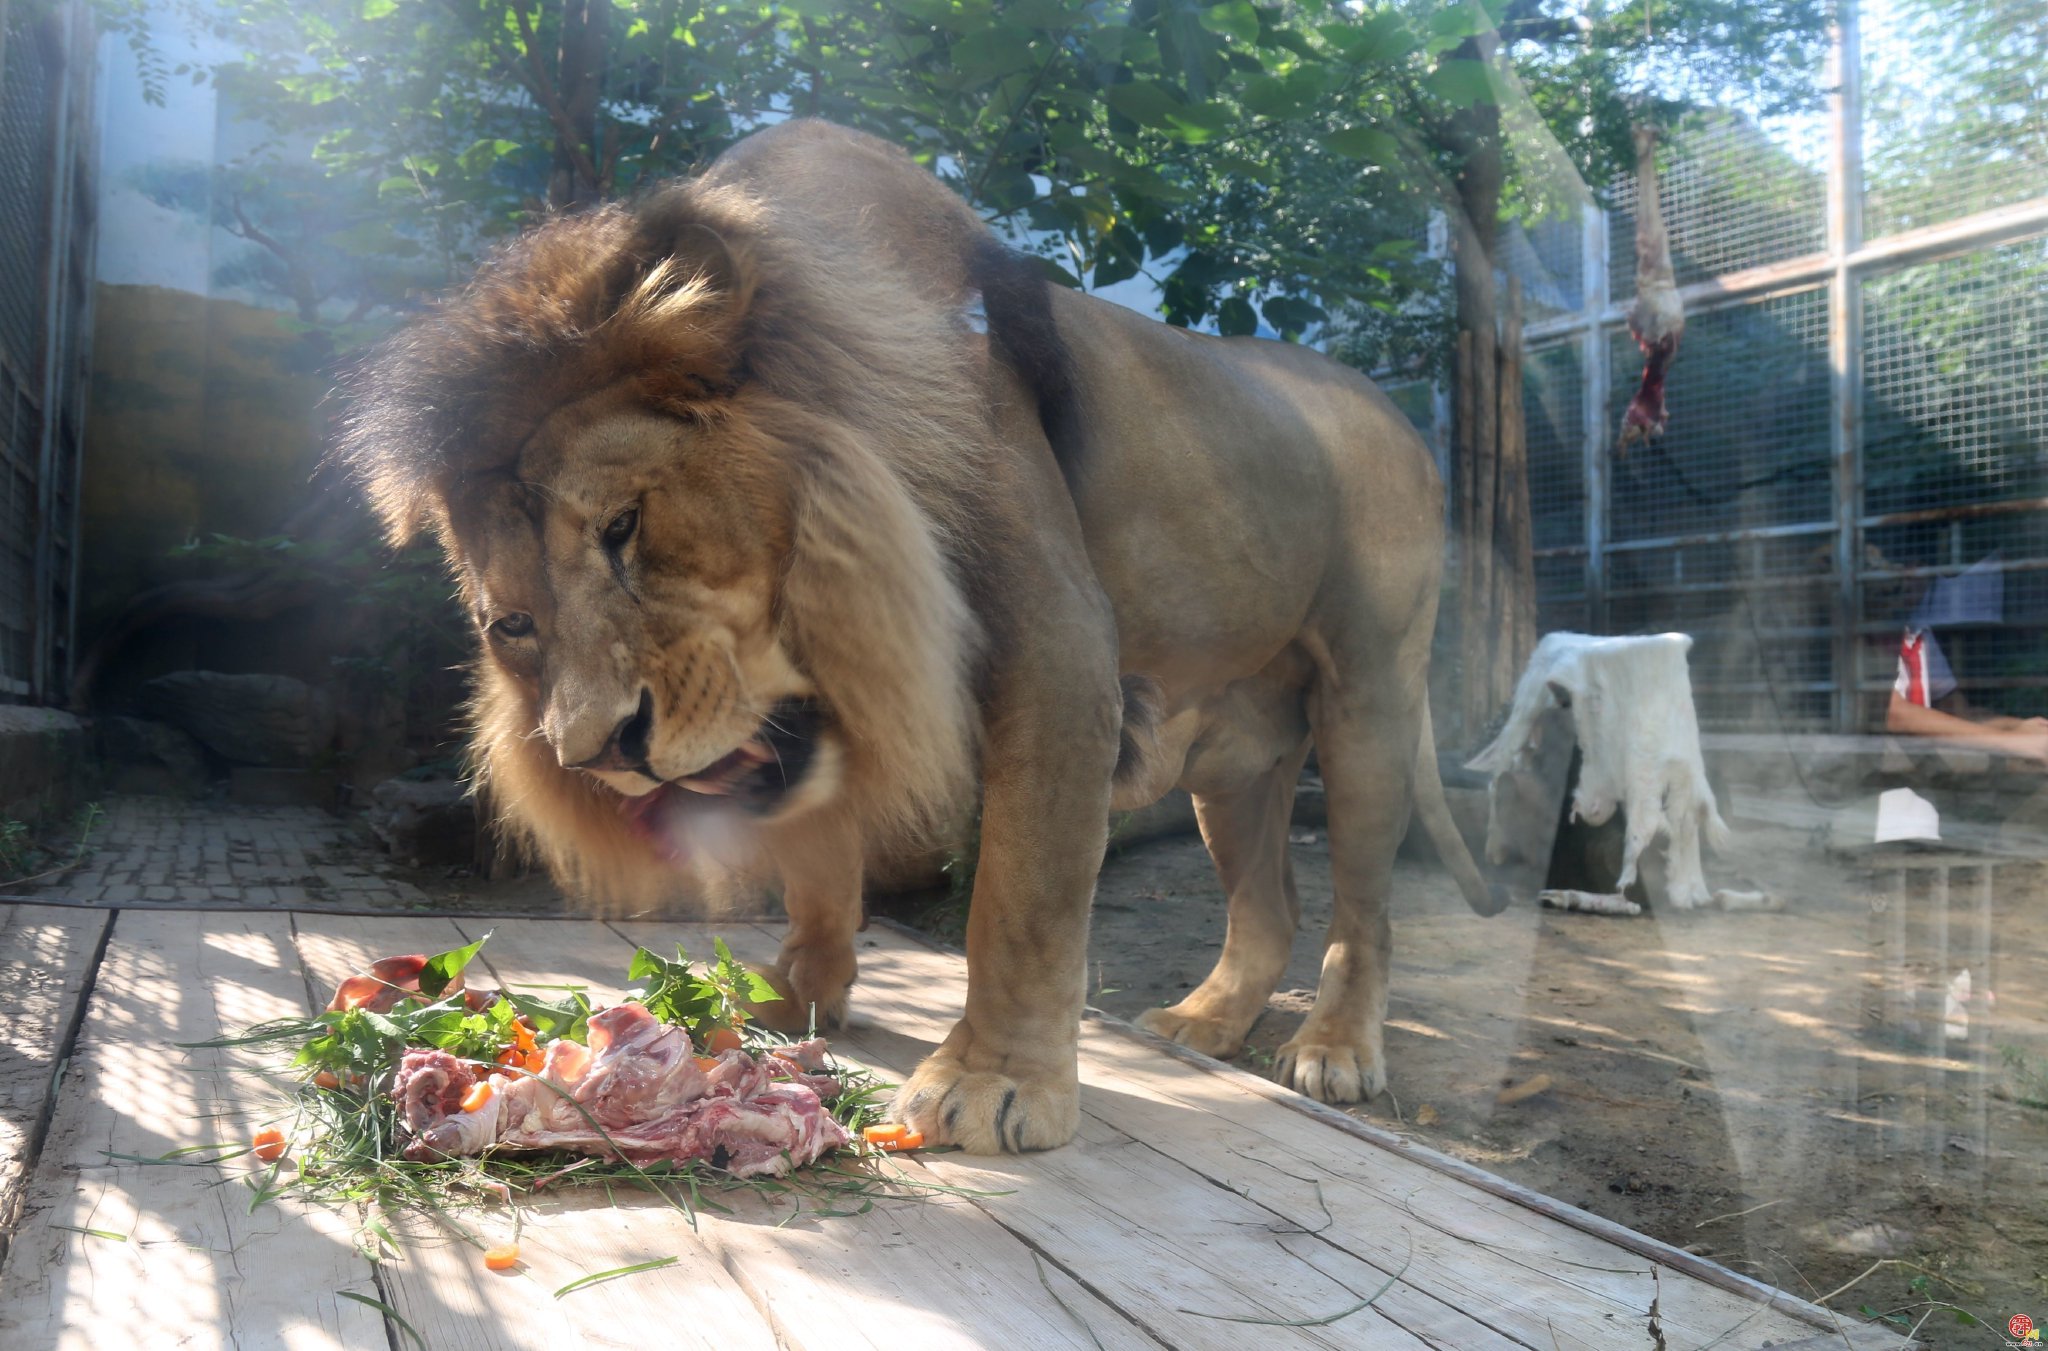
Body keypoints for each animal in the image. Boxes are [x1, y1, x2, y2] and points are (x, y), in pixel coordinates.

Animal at [339, 118, 1507, 1154]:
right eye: (512, 624)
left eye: (624, 527)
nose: (600, 750)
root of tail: (1398, 412)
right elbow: (817, 858)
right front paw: (797, 995)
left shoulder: (1060, 656)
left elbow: (1020, 897)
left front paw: (992, 1085)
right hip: (1229, 754)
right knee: (1268, 903)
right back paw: (1202, 1022)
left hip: (1367, 702)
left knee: (1364, 906)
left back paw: (1335, 1049)